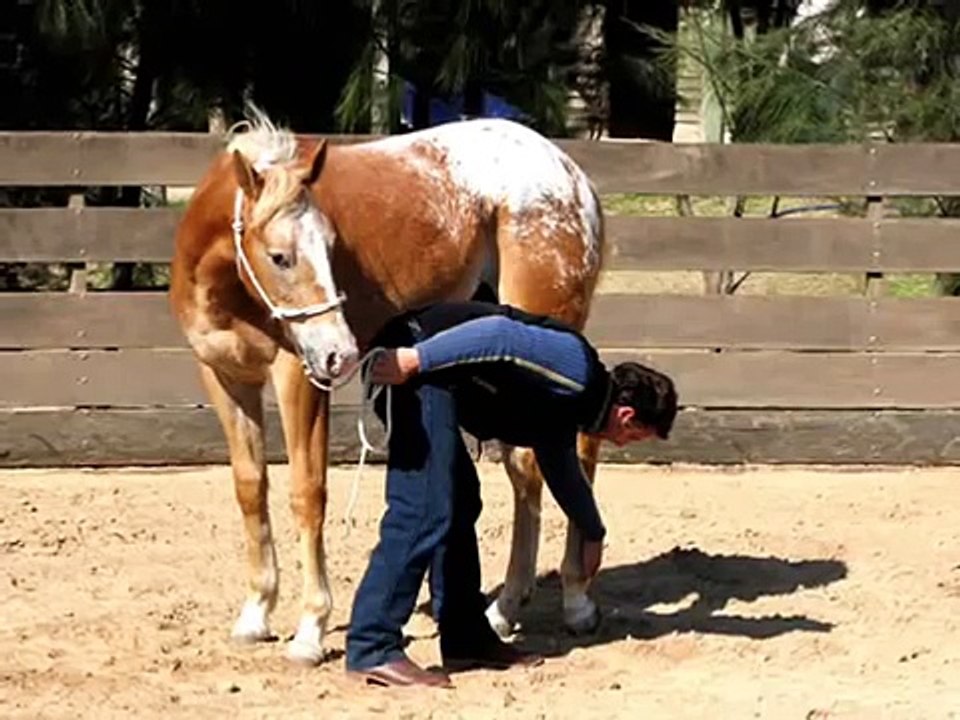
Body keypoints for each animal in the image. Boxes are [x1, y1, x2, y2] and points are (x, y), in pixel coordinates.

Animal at [168, 105, 607, 665]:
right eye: (280, 256)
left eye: (331, 247)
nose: (340, 352)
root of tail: (570, 176)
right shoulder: (227, 376)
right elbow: (251, 487)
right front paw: (255, 615)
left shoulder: (298, 377)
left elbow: (307, 492)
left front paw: (310, 631)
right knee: (528, 465)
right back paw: (507, 609)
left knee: (572, 451)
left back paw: (576, 600)